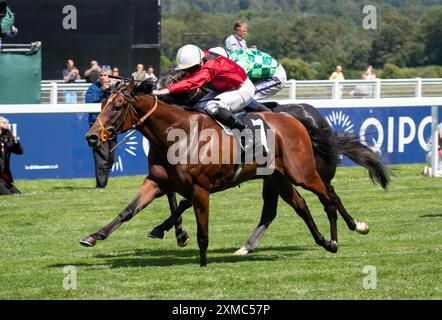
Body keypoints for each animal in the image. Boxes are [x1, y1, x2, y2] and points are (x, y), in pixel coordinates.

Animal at [79, 81, 340, 266]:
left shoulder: (200, 189)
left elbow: (201, 230)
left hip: (302, 173)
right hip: (276, 177)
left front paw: (200, 259)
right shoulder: (156, 182)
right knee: (301, 205)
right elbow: (128, 211)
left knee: (328, 197)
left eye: (117, 106)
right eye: (101, 105)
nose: (92, 136)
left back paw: (337, 237)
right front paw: (93, 236)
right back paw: (325, 242)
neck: (179, 135)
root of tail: (292, 119)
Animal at [142, 71, 390, 254]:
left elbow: (183, 200)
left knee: (329, 195)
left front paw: (169, 230)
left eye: (167, 84)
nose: (151, 95)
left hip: (308, 170)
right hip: (275, 176)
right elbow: (173, 196)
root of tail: (312, 115)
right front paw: (174, 232)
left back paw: (356, 226)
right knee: (275, 209)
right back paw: (247, 246)